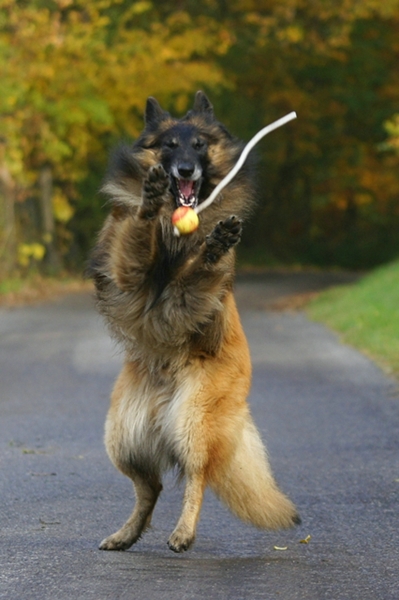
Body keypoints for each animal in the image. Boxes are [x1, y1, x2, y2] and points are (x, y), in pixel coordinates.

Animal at [88, 90, 300, 552]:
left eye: (199, 145)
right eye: (170, 145)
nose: (186, 169)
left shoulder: (187, 300)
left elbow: (196, 272)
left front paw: (214, 245)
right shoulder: (128, 275)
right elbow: (137, 234)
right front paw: (147, 204)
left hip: (193, 421)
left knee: (195, 478)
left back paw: (183, 532)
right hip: (121, 437)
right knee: (150, 488)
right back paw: (125, 535)